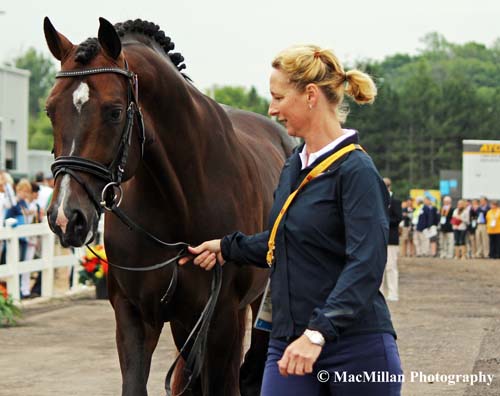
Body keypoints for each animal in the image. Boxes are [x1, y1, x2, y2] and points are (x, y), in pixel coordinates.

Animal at [44, 17, 292, 396]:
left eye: (115, 111)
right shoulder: (135, 315)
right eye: (50, 110)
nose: (65, 216)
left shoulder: (219, 317)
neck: (178, 203)